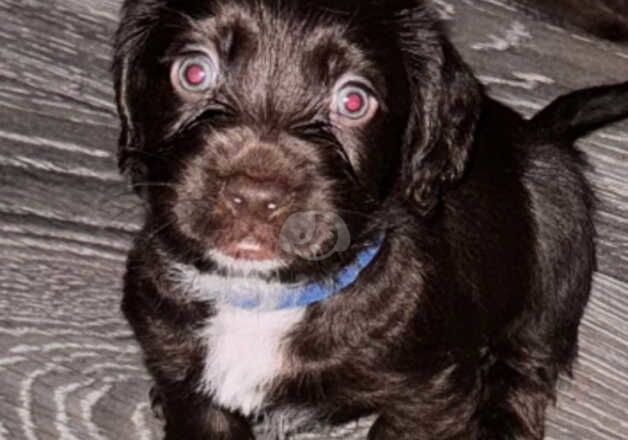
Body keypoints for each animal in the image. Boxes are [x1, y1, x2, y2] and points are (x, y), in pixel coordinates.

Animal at [111, 1, 628, 438]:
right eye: (193, 72)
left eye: (354, 100)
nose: (255, 198)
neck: (263, 295)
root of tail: (537, 133)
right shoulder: (186, 372)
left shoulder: (434, 391)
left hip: (556, 252)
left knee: (527, 361)